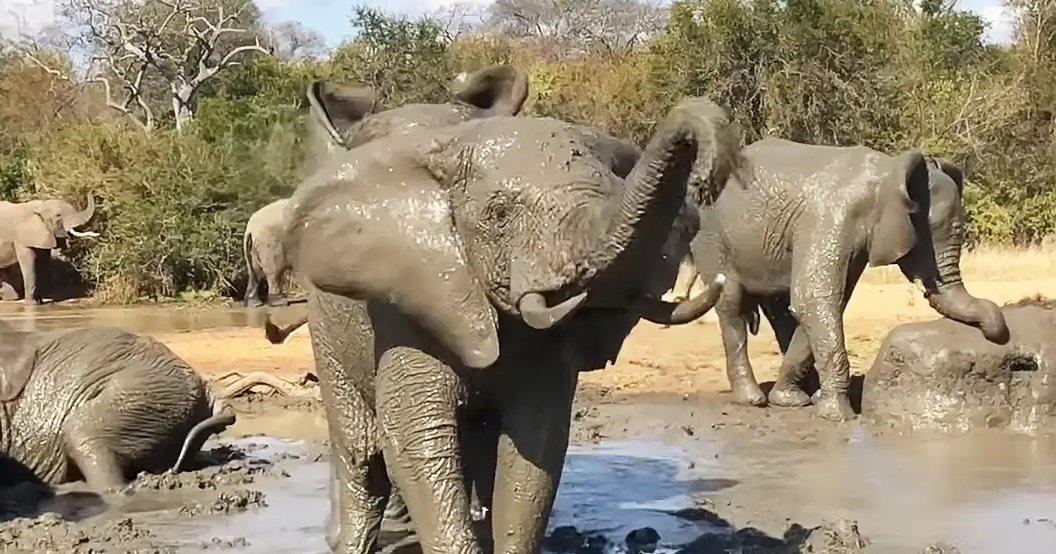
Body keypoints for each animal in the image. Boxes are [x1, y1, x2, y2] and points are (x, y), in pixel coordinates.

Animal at [264, 92, 744, 554]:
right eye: (498, 215)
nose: (707, 170)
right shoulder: (408, 301)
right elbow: (415, 438)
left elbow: (535, 444)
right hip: (326, 328)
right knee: (364, 456)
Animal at [688, 138, 1010, 421]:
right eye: (935, 236)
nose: (995, 333)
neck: (888, 172)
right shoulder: (834, 217)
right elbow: (814, 299)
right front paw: (837, 417)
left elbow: (826, 303)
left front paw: (794, 402)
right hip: (709, 235)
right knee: (732, 305)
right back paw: (752, 399)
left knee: (779, 309)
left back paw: (796, 396)